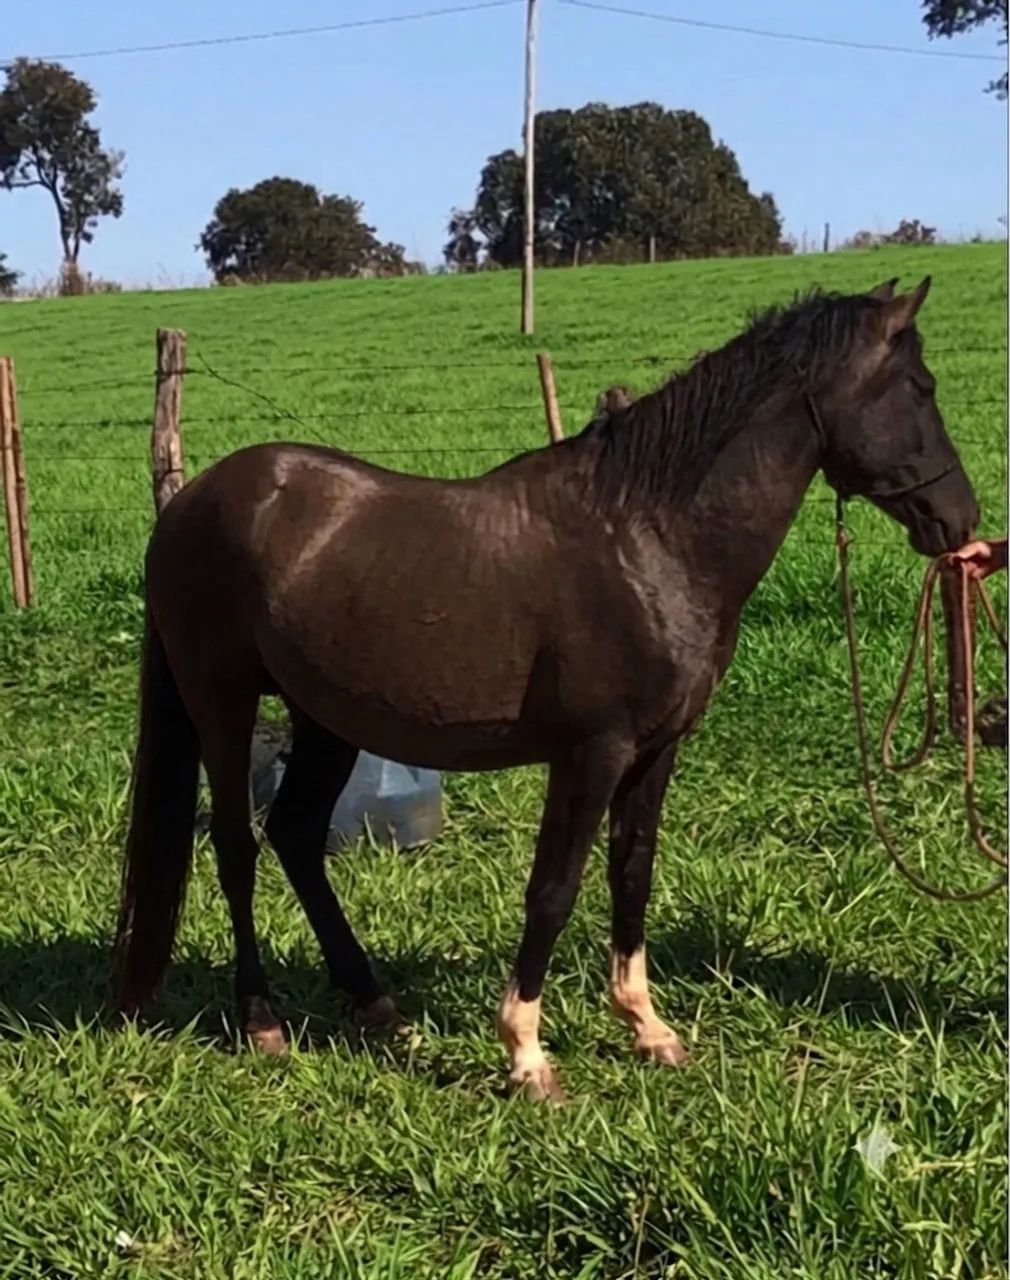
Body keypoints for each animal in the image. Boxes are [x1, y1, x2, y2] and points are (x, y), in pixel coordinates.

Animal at [112, 276, 979, 1101]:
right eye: (921, 388)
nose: (962, 522)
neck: (649, 537)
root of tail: (189, 505)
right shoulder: (592, 753)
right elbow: (554, 891)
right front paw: (527, 1055)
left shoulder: (656, 752)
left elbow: (632, 875)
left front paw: (647, 1029)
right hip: (223, 706)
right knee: (237, 847)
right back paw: (261, 1020)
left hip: (325, 719)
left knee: (295, 836)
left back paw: (376, 1005)